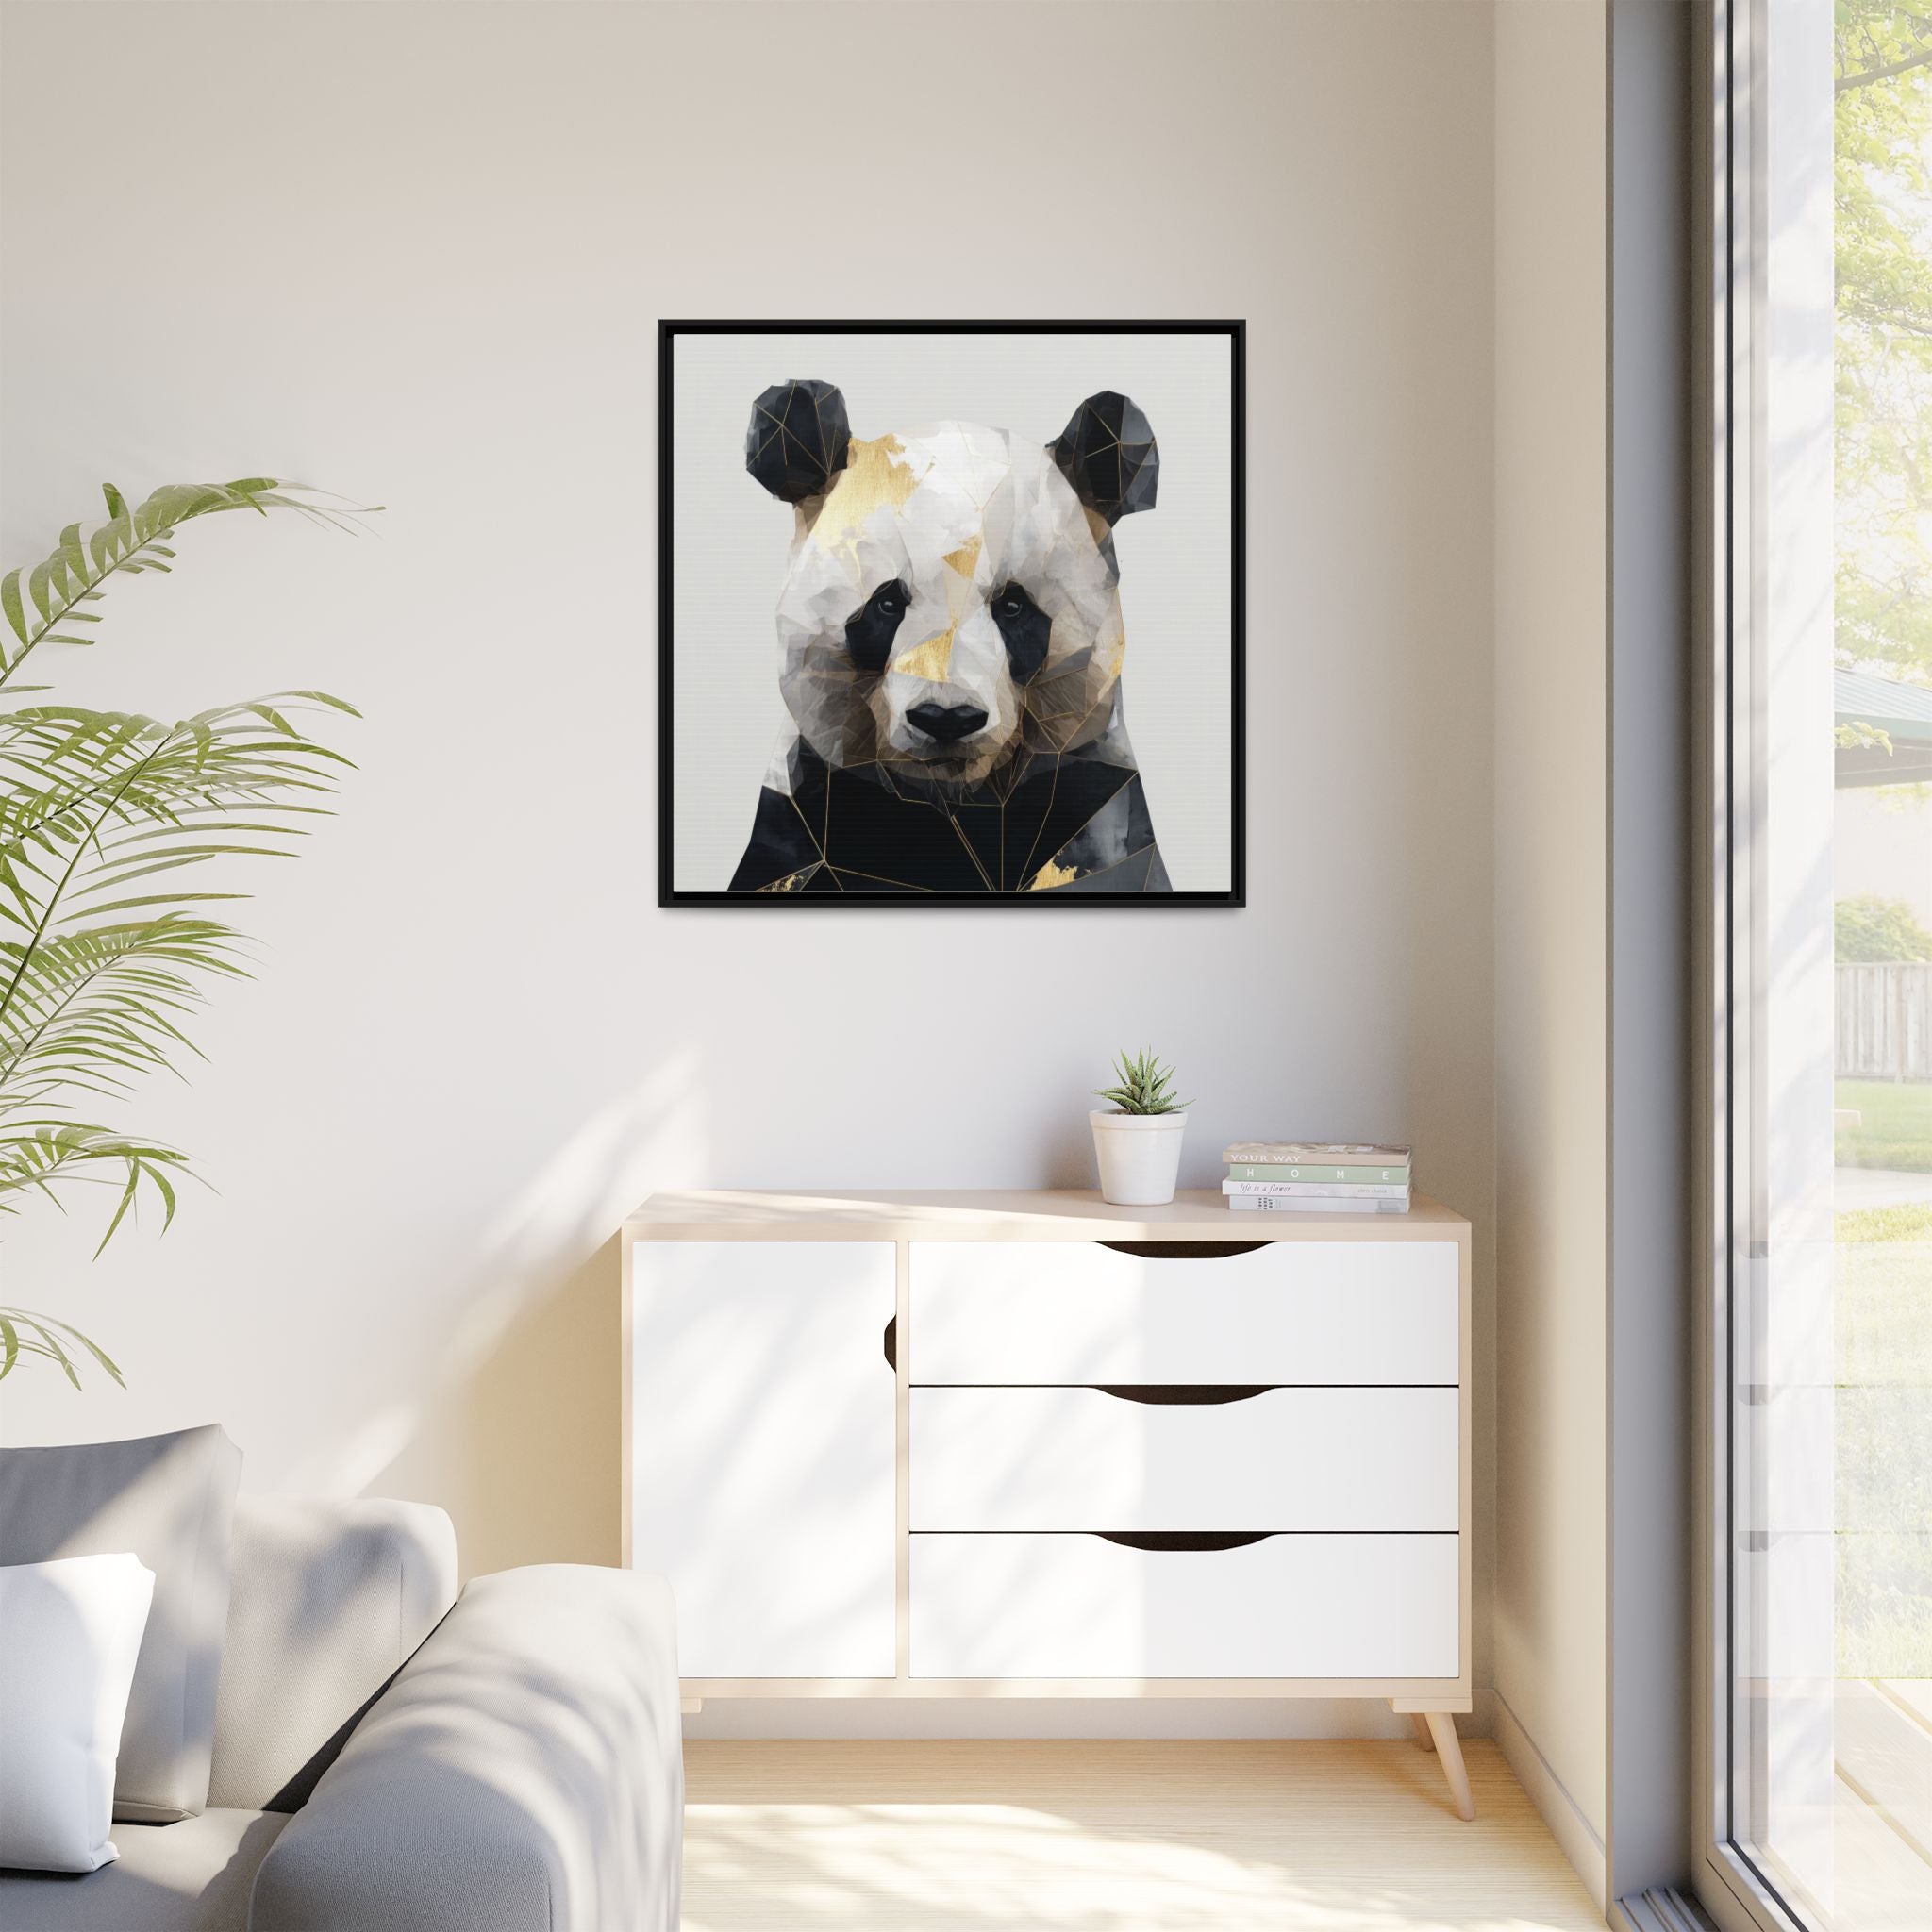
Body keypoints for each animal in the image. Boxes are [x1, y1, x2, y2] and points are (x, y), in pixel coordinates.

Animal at [729, 380, 1171, 895]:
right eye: (887, 604)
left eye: (1013, 606)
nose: (946, 718)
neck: (956, 801)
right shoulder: (808, 816)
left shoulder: (1089, 807)